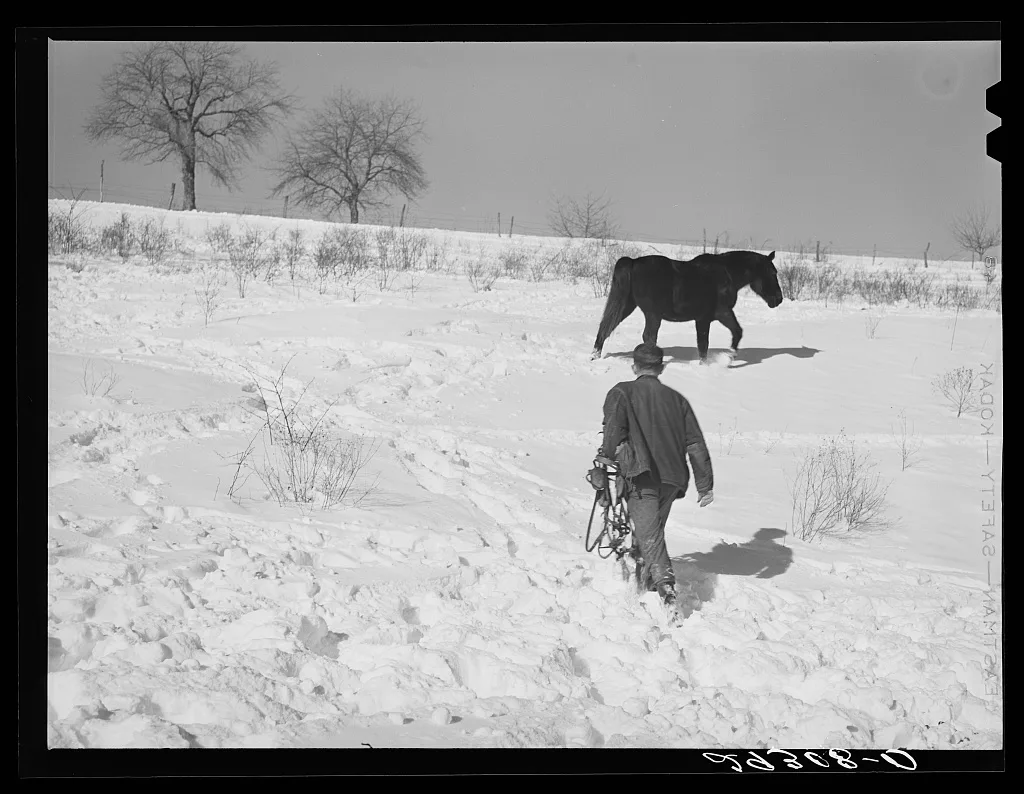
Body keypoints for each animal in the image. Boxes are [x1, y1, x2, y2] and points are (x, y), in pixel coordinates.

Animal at [592, 250, 784, 362]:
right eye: (772, 272)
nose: (778, 299)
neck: (726, 273)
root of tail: (633, 262)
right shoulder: (719, 314)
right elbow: (725, 336)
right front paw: (727, 359)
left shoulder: (706, 318)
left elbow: (709, 343)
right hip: (652, 314)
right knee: (648, 336)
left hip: (627, 305)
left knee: (606, 327)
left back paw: (595, 356)